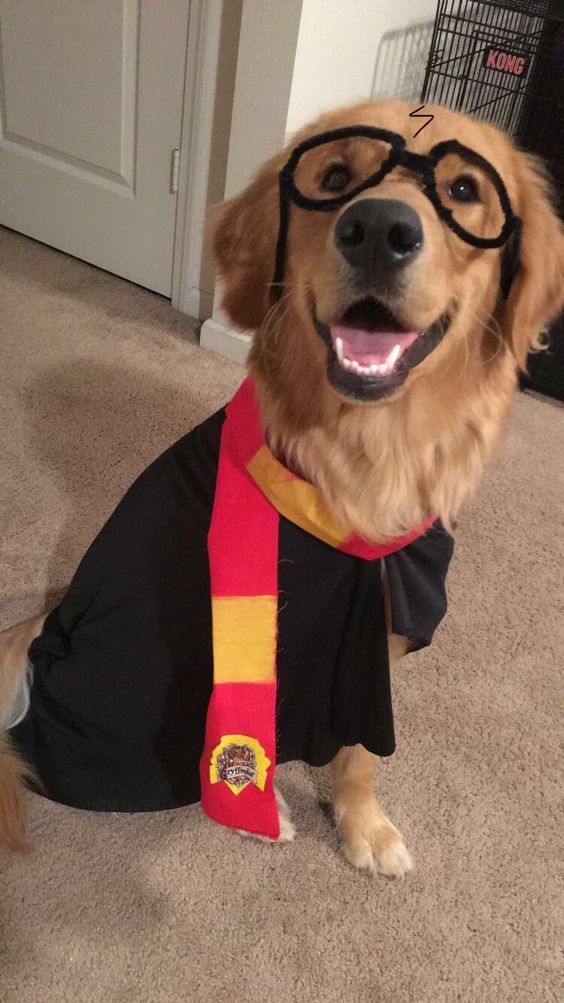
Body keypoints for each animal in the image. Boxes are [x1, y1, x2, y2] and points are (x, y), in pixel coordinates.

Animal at [1, 97, 561, 874]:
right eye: (333, 178)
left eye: (464, 188)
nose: (379, 231)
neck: (368, 454)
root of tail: (44, 639)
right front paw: (271, 814)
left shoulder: (384, 622)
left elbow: (362, 752)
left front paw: (363, 823)